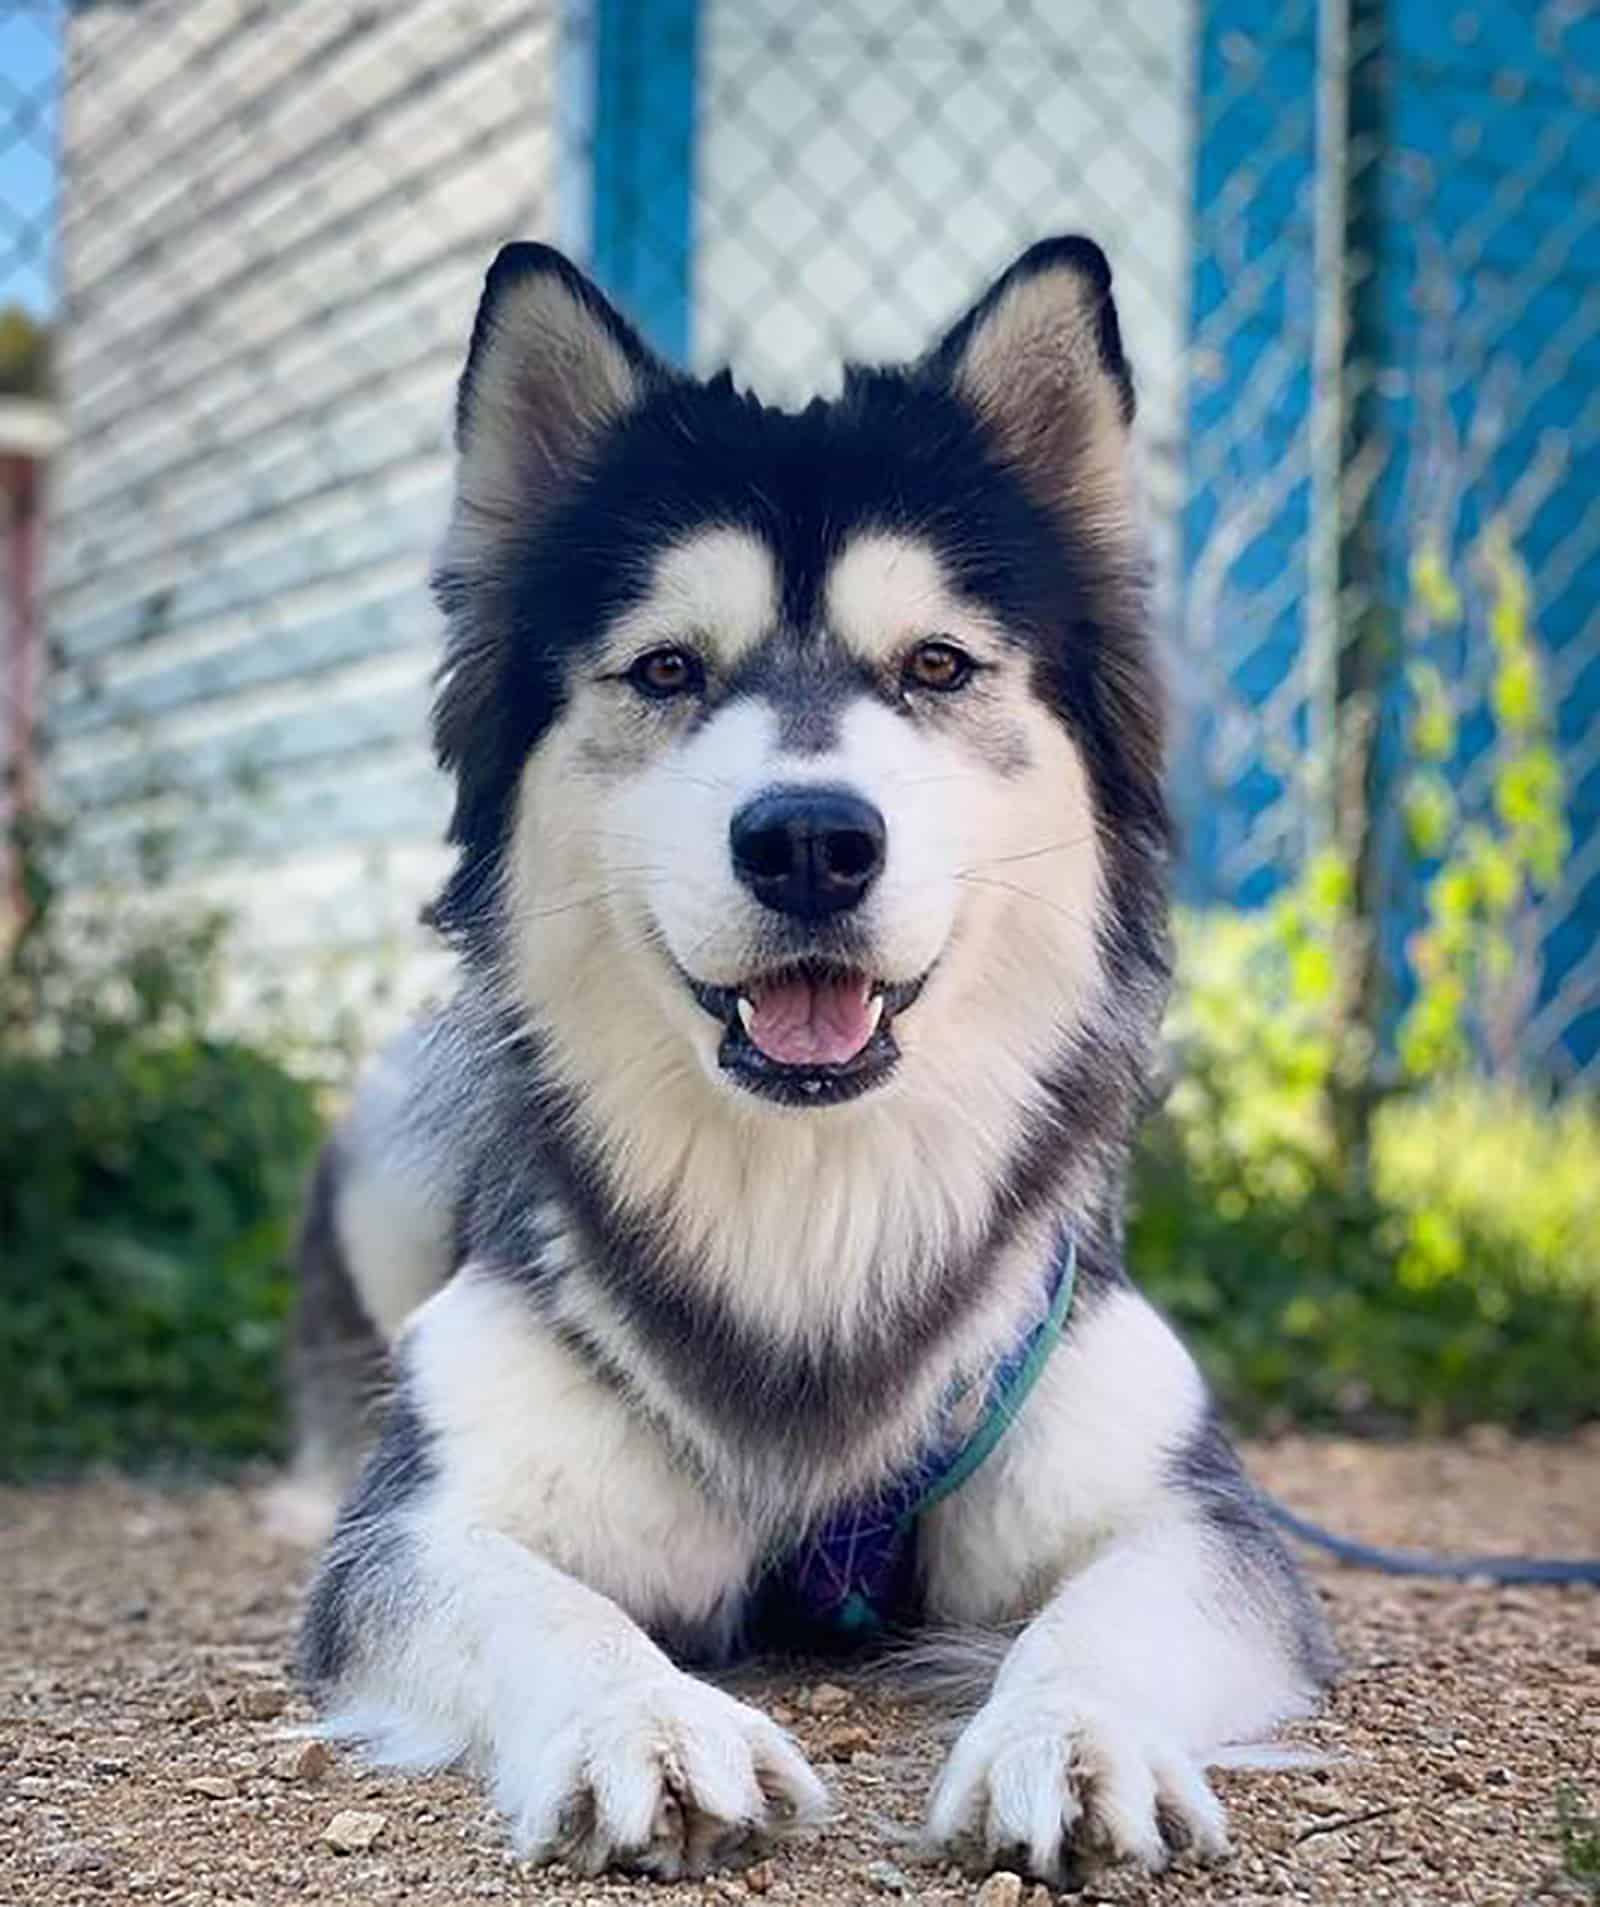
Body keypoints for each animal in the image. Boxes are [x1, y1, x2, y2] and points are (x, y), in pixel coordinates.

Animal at [291, 234, 1342, 1876]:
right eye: (666, 668)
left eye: (937, 663)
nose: (808, 840)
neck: (810, 1188)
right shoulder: (416, 1522)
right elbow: (535, 1603)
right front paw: (641, 1723)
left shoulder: (1188, 1502)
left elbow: (1114, 1613)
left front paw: (1072, 1733)